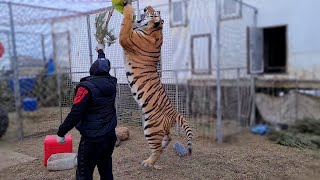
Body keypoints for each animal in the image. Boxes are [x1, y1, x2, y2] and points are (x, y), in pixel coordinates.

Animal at [119, 3, 192, 169]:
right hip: (156, 127)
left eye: (153, 13)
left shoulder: (126, 37)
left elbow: (126, 22)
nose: (146, 7)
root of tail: (174, 113)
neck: (155, 30)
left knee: (157, 149)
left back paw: (148, 163)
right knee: (167, 139)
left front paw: (128, 8)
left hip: (150, 128)